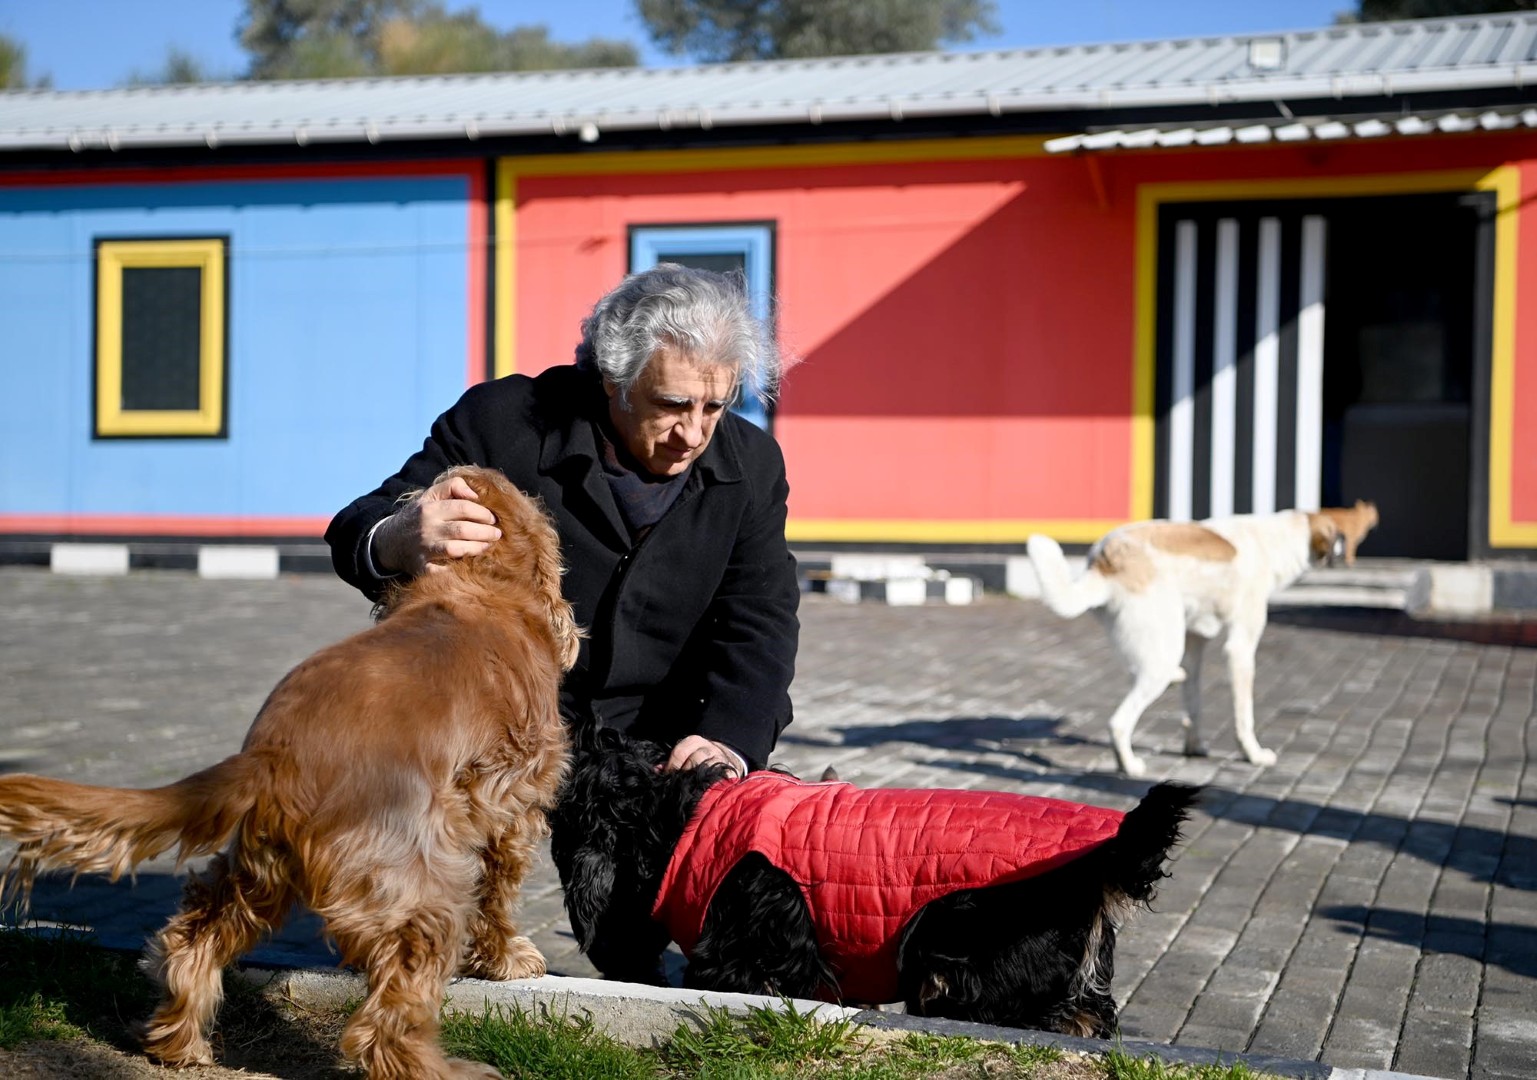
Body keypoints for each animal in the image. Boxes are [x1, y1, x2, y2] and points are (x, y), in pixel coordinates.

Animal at [1026, 510, 1340, 777]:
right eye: (1336, 534)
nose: (1344, 548)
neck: (1273, 540)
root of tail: (1106, 557)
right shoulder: (1240, 648)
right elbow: (1244, 717)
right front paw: (1253, 755)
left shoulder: (1195, 644)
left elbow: (1194, 706)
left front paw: (1195, 747)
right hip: (1163, 653)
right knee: (1119, 722)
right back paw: (1130, 766)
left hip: (1162, 643)